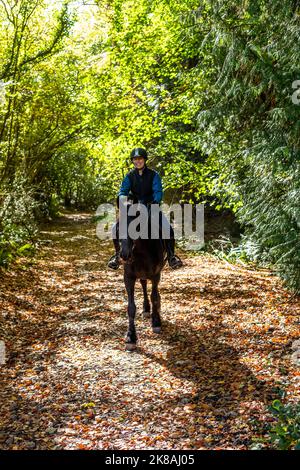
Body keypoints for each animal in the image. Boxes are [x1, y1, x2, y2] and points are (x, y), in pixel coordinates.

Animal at [119, 200, 166, 350]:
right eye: (119, 225)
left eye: (137, 226)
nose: (124, 254)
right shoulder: (128, 277)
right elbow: (131, 307)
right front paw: (131, 337)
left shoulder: (156, 275)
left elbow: (155, 297)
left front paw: (156, 322)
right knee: (144, 285)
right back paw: (146, 308)